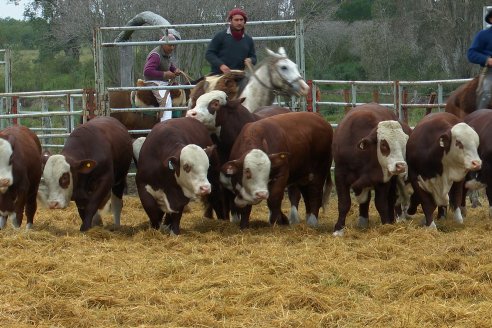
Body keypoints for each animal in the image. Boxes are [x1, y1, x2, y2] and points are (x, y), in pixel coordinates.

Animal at [330, 104, 412, 237]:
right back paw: (363, 221)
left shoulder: (382, 179)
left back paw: (393, 219)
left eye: (404, 144)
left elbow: (381, 203)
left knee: (392, 198)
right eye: (384, 144)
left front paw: (386, 224)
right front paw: (338, 229)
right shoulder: (340, 175)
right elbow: (344, 203)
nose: (401, 166)